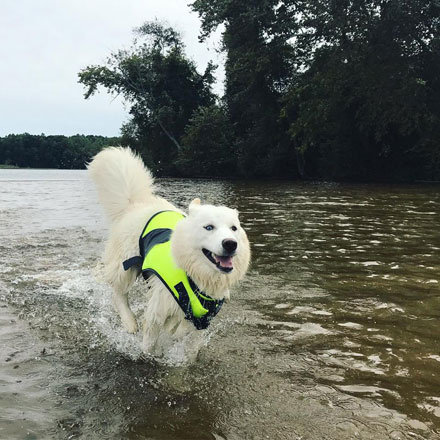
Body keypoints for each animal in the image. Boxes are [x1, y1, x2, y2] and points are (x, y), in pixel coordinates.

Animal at [87, 148, 249, 358]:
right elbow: (149, 343)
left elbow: (186, 336)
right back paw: (130, 322)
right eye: (209, 227)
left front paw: (177, 336)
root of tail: (136, 203)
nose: (230, 244)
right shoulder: (158, 307)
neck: (194, 277)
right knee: (118, 293)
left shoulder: (203, 317)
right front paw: (149, 354)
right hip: (126, 266)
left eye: (234, 228)